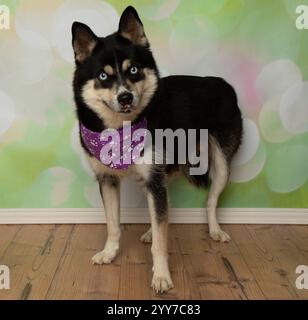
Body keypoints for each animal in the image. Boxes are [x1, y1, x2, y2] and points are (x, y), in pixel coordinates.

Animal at [71, 6, 243, 294]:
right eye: (103, 76)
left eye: (134, 70)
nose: (125, 97)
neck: (121, 130)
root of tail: (221, 82)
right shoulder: (108, 178)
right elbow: (113, 225)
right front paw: (109, 253)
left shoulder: (153, 177)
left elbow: (161, 243)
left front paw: (161, 275)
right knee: (164, 204)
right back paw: (153, 229)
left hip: (220, 164)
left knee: (209, 200)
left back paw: (215, 230)